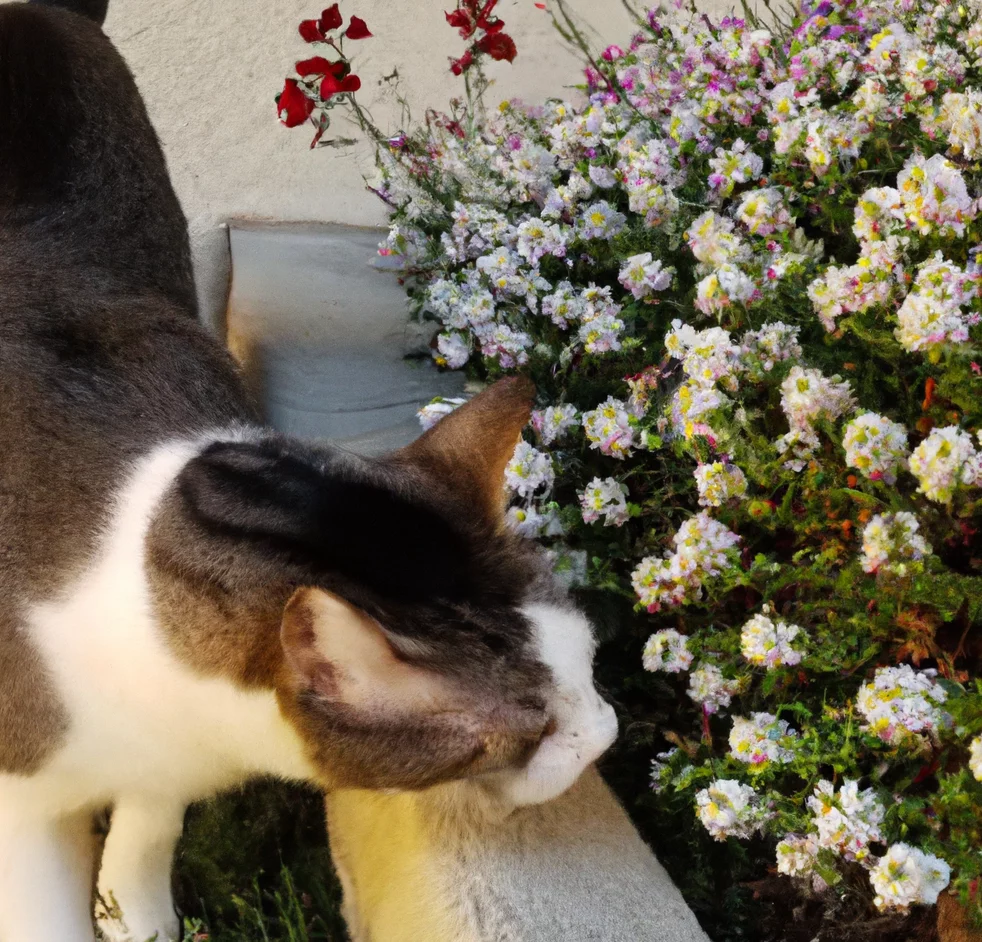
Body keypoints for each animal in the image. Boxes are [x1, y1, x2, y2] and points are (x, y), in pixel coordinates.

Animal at [0, 1, 620, 942]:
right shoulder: (21, 798)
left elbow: (156, 812)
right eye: (529, 734)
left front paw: (136, 907)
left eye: (587, 659)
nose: (603, 736)